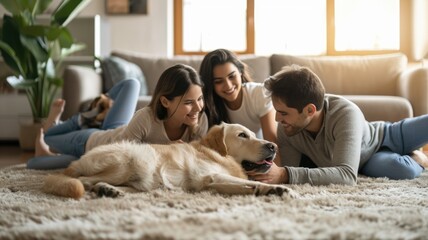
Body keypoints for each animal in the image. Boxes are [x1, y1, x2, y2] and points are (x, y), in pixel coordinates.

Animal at [43, 122, 296, 199]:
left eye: (254, 134)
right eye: (242, 135)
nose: (272, 147)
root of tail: (73, 164)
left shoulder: (216, 182)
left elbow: (250, 185)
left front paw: (270, 190)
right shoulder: (212, 176)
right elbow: (254, 182)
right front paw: (281, 189)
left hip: (141, 177)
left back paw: (110, 191)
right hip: (133, 158)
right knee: (85, 182)